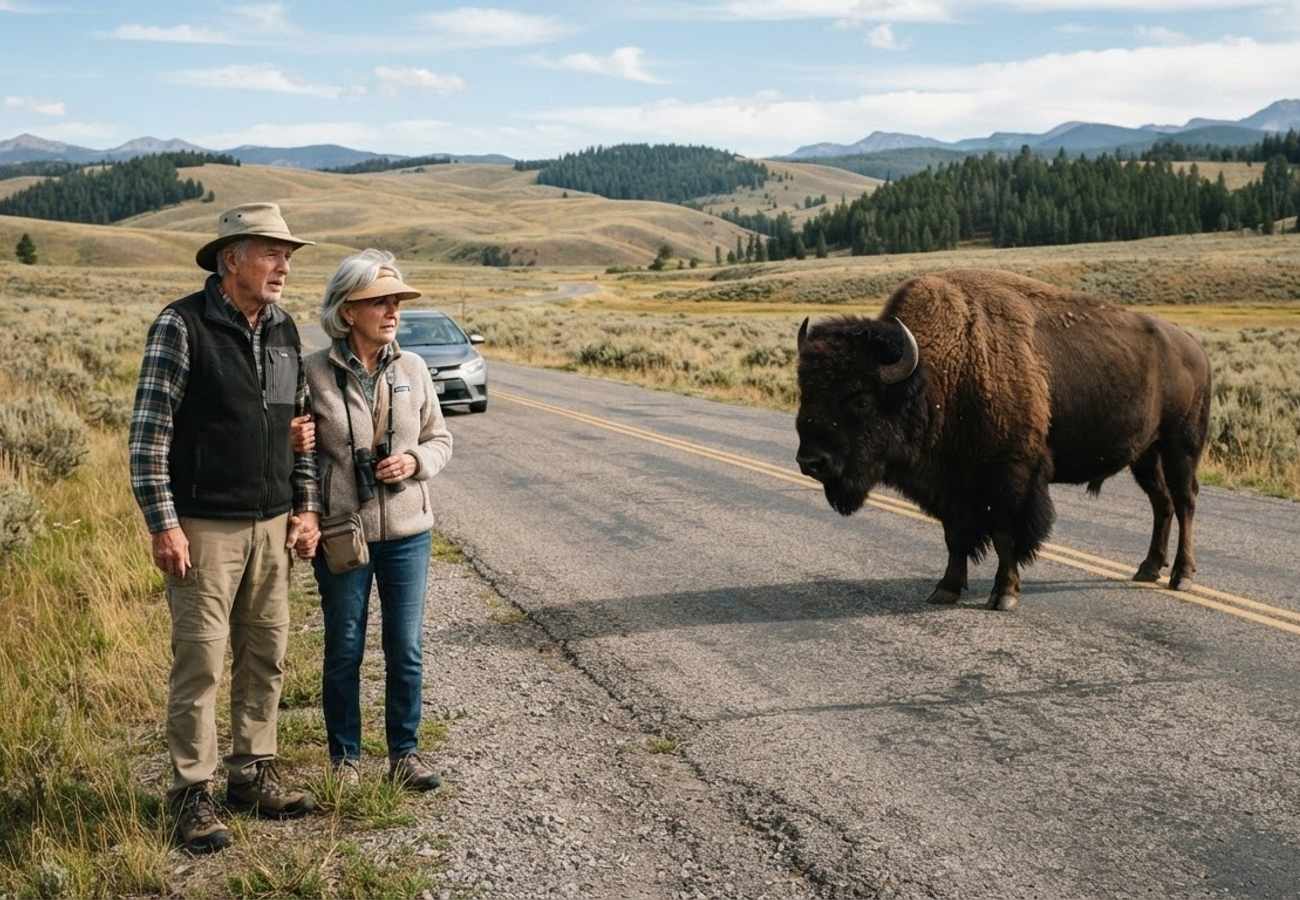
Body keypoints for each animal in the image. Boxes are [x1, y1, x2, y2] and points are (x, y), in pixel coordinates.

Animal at [794, 268, 1212, 611]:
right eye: (805, 391)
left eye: (860, 398)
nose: (810, 462)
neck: (939, 373)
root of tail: (1195, 348)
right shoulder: (954, 486)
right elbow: (956, 536)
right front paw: (945, 589)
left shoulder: (1010, 479)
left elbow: (1005, 536)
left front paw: (1004, 595)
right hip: (1145, 455)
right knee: (1162, 504)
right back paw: (1148, 568)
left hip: (1181, 445)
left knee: (1185, 501)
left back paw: (1181, 576)